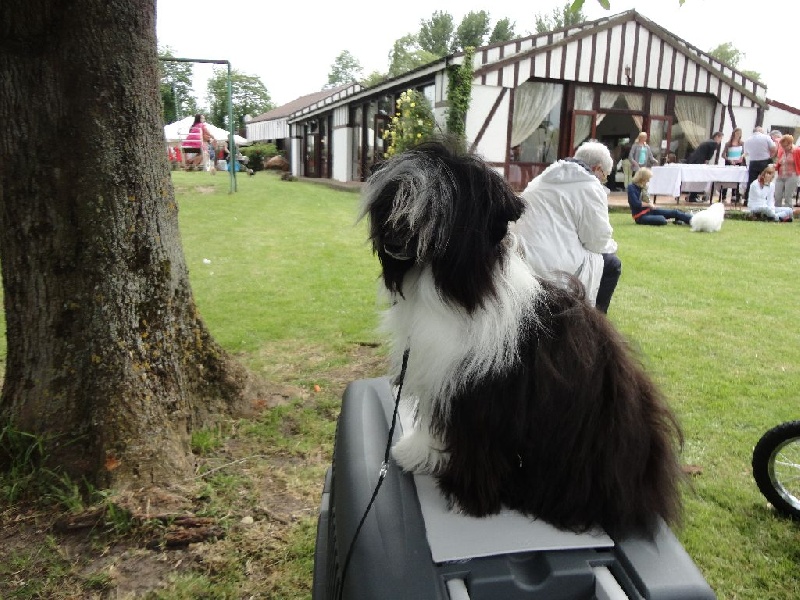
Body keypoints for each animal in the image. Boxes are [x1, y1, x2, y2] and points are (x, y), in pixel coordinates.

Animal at [360, 142, 684, 540]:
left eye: (435, 207)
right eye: (392, 200)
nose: (392, 238)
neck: (451, 291)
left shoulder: (483, 399)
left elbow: (476, 444)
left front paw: (469, 497)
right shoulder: (441, 377)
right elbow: (434, 425)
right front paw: (418, 453)